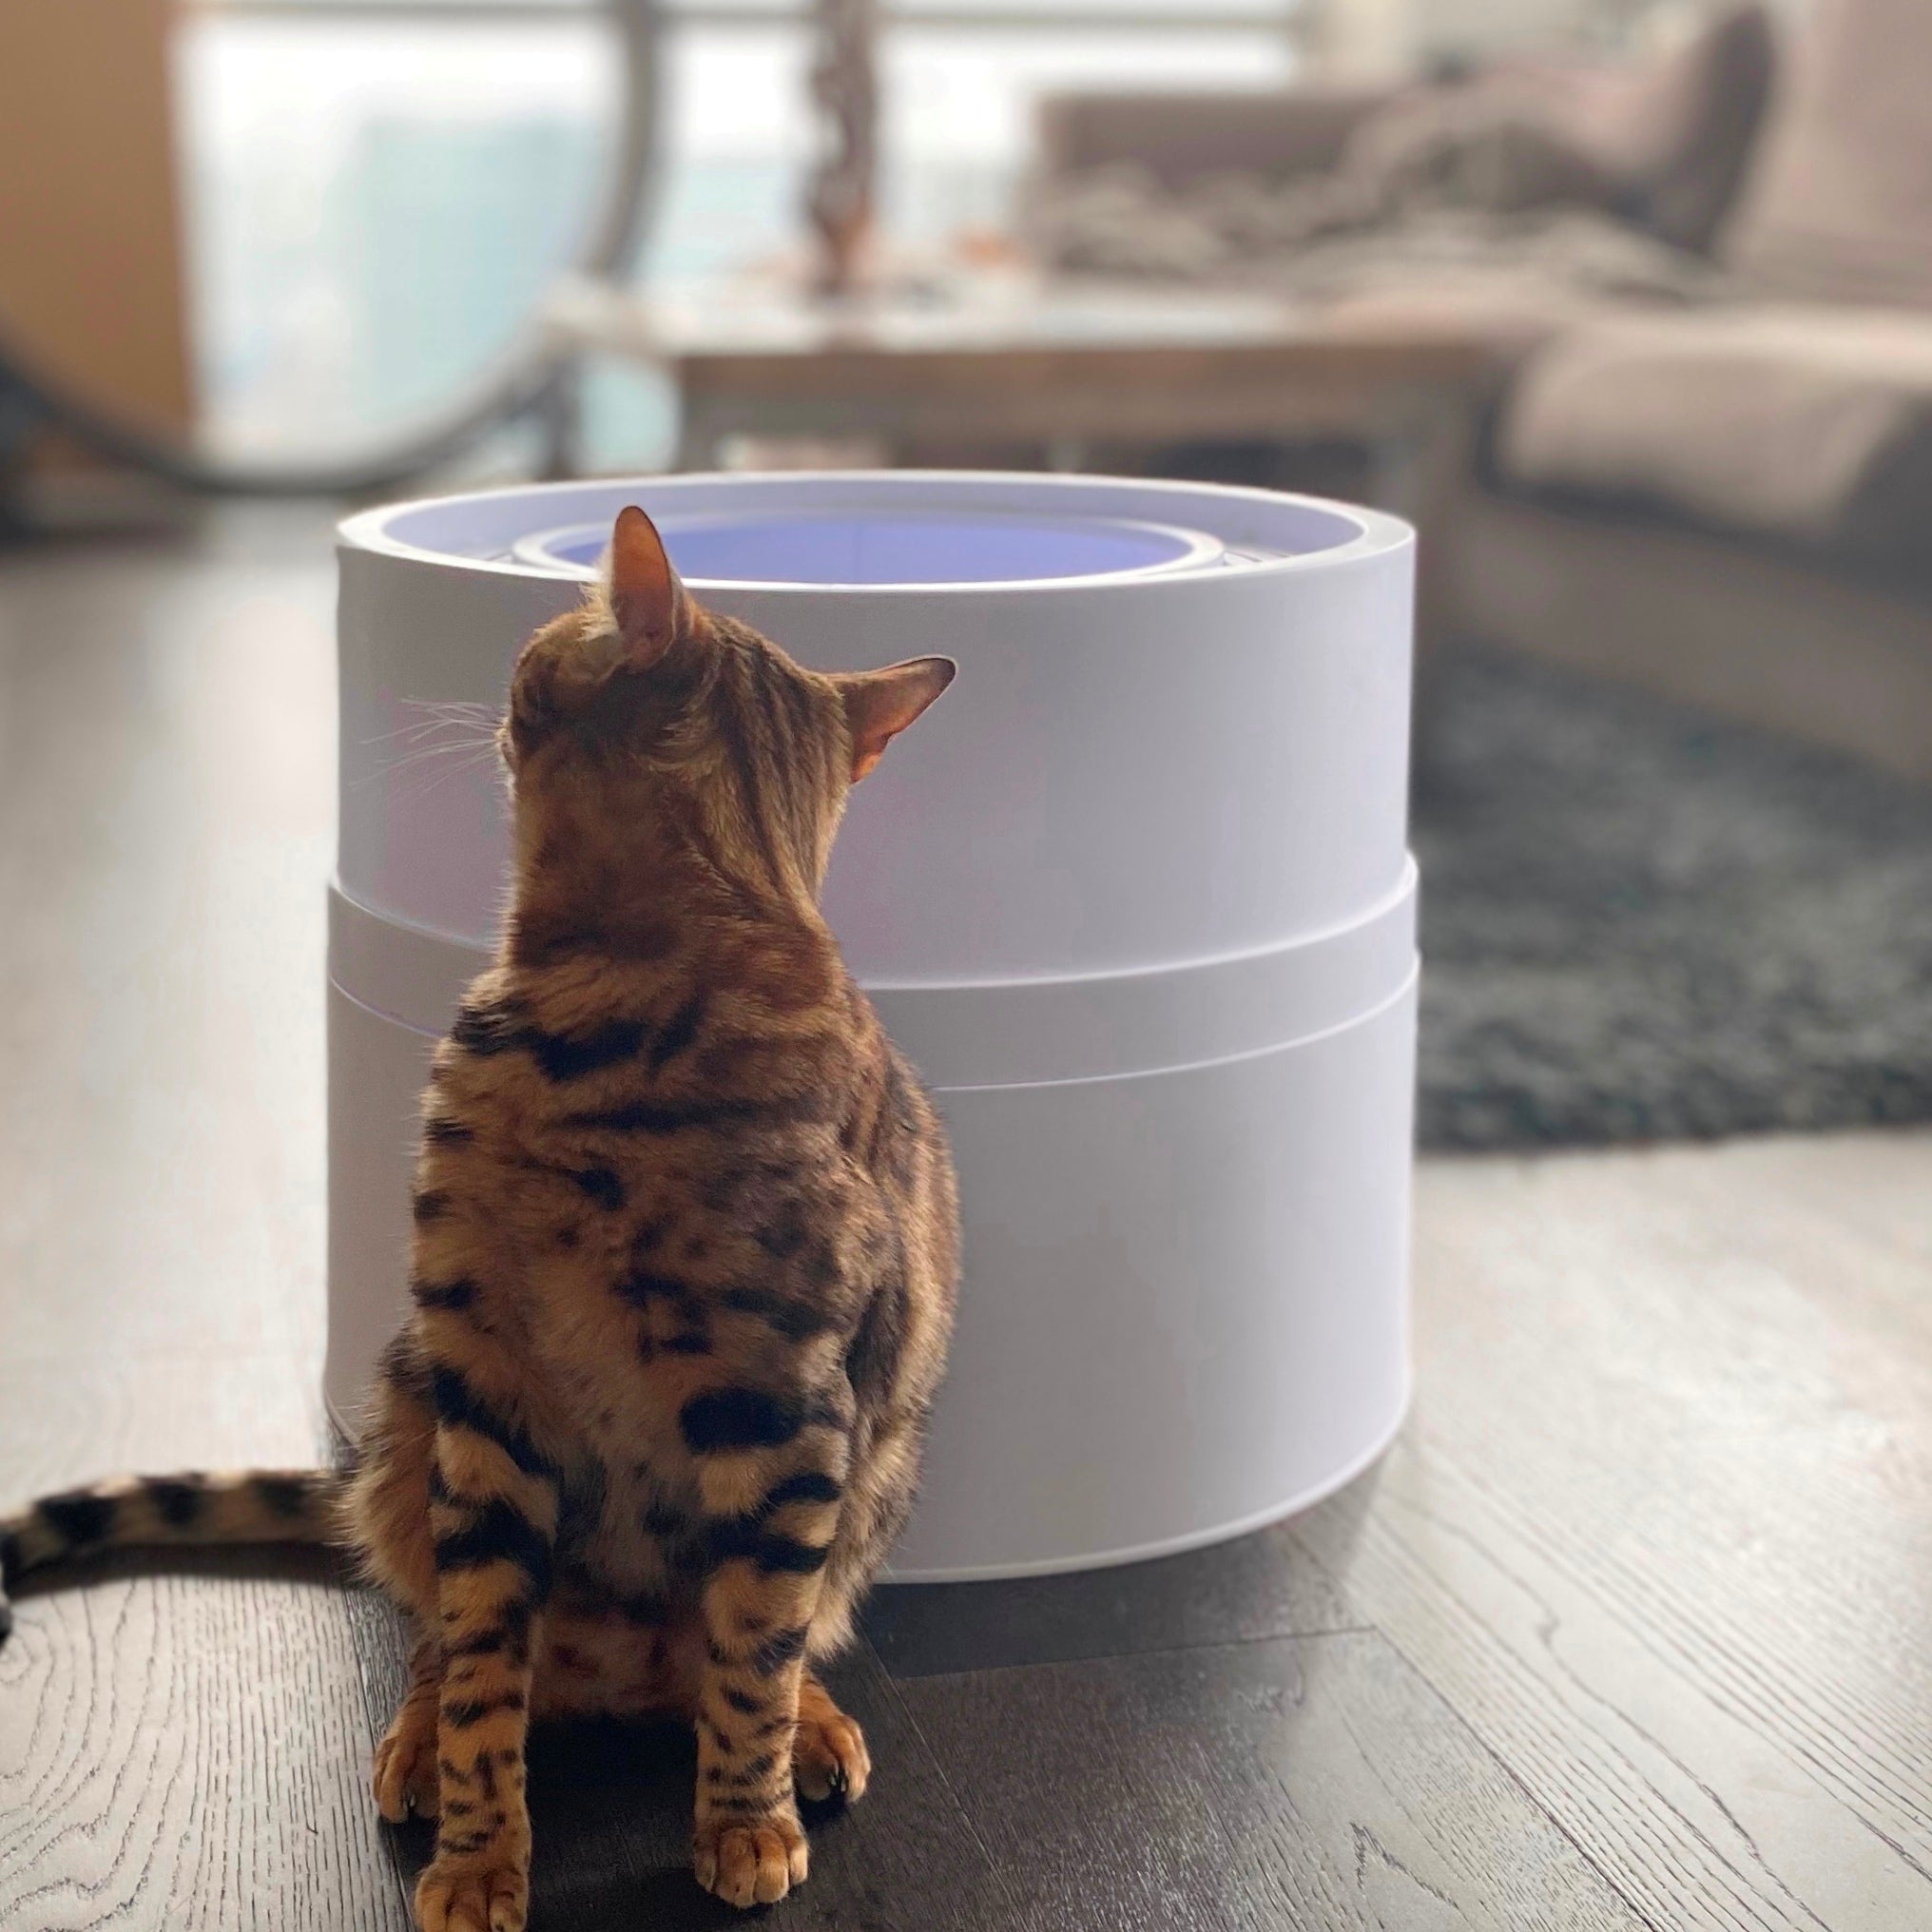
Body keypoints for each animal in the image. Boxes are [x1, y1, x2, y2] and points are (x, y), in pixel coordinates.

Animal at [0, 506, 966, 1923]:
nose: (491, 691)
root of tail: (618, 1675)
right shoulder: (489, 1388)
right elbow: (482, 1671)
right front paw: (475, 1856)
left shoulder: (789, 1413)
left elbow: (753, 1655)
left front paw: (744, 1819)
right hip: (414, 1400)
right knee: (432, 1630)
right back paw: (414, 1737)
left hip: (873, 1476)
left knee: (762, 1647)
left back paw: (815, 1726)